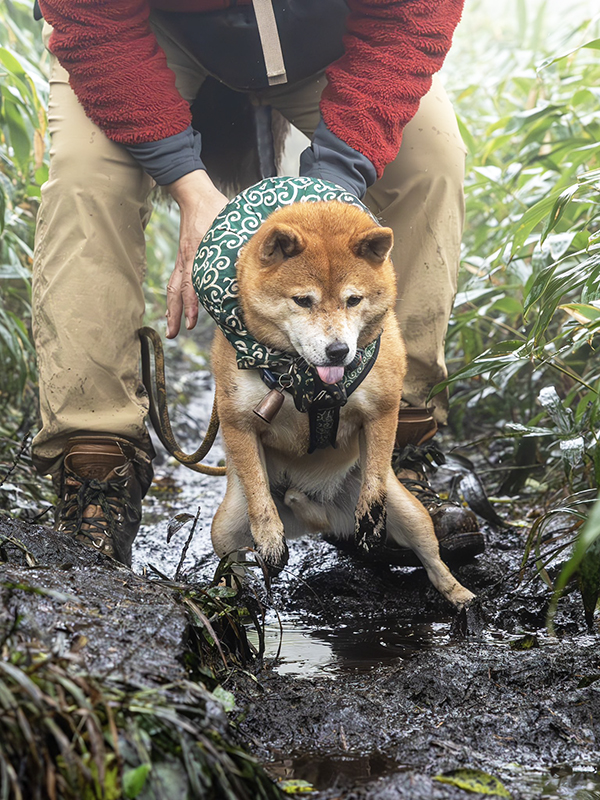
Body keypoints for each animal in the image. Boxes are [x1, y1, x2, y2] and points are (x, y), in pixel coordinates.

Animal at [210, 202, 474, 612]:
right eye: (303, 300)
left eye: (354, 300)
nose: (338, 351)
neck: (304, 379)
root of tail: (321, 519)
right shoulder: (238, 420)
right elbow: (258, 491)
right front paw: (268, 538)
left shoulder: (383, 410)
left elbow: (376, 473)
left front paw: (370, 514)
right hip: (225, 528)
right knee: (233, 562)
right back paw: (236, 597)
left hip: (411, 515)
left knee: (431, 559)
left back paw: (459, 594)